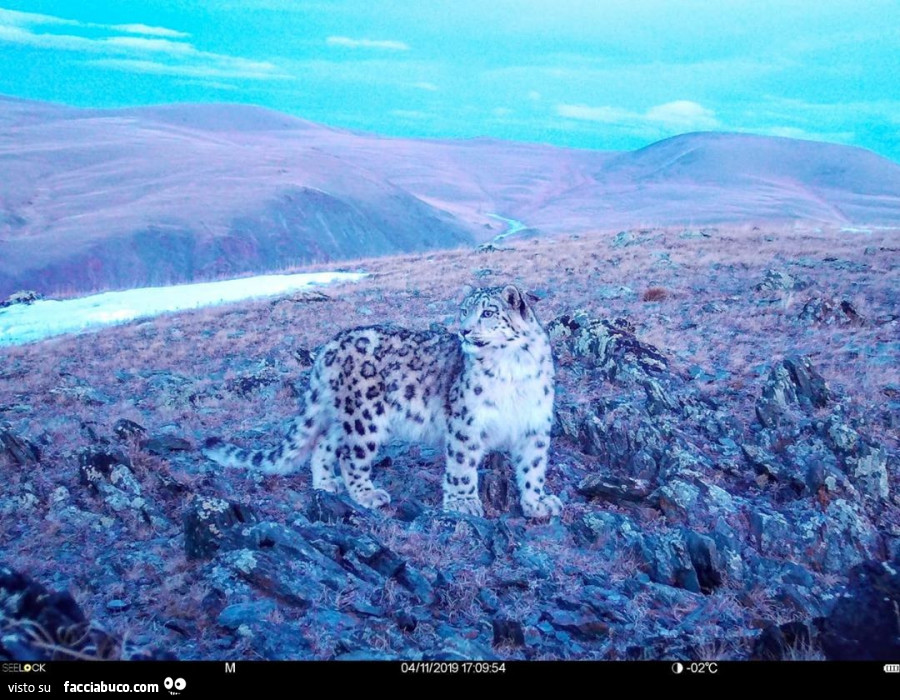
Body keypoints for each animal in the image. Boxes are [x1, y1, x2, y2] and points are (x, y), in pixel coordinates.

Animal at [202, 284, 562, 518]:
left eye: (488, 312)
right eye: (464, 311)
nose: (464, 330)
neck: (514, 368)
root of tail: (331, 345)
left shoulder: (535, 426)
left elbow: (533, 468)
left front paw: (538, 504)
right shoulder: (466, 423)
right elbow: (462, 465)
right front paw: (462, 503)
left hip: (345, 413)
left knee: (324, 444)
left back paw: (326, 484)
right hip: (364, 413)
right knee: (351, 455)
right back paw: (367, 494)